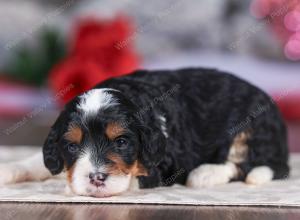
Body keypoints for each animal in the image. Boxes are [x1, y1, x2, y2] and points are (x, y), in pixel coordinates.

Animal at [0, 68, 290, 197]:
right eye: (72, 146)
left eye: (121, 142)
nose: (96, 178)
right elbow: (38, 160)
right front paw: (8, 169)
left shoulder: (165, 166)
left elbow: (129, 178)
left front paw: (66, 184)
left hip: (250, 128)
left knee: (248, 164)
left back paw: (206, 173)